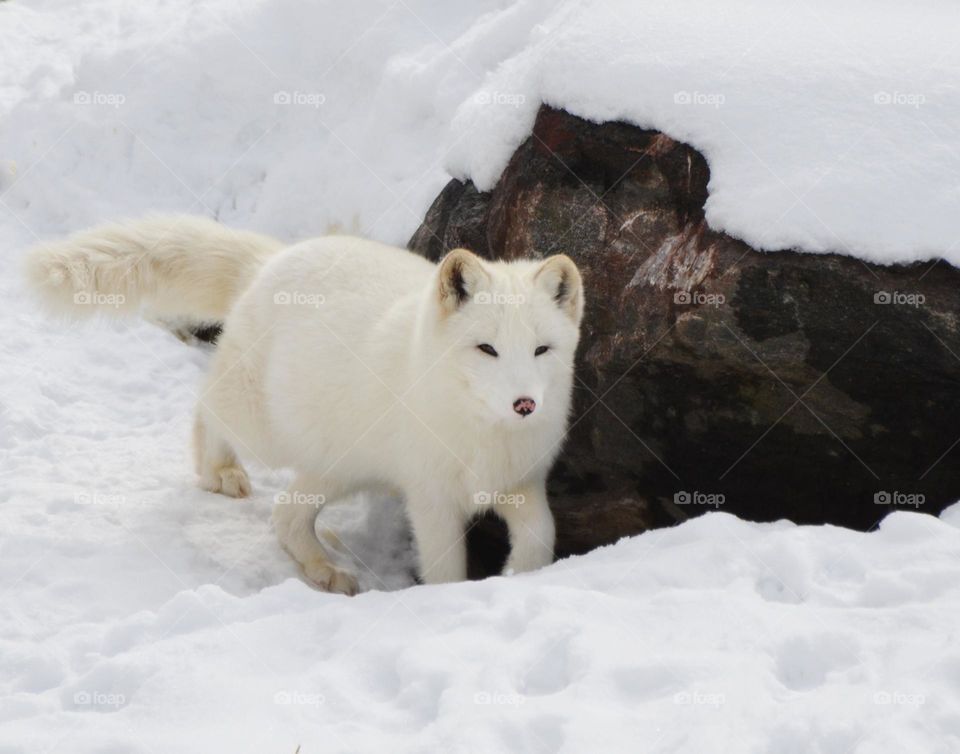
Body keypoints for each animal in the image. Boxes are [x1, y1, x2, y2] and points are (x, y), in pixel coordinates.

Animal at [25, 215, 585, 594]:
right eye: (486, 349)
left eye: (541, 350)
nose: (525, 404)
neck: (483, 433)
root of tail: (271, 260)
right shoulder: (432, 499)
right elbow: (445, 569)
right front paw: (450, 599)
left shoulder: (521, 483)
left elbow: (542, 536)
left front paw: (523, 577)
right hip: (265, 429)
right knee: (206, 406)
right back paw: (218, 471)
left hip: (341, 464)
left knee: (286, 515)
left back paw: (324, 568)